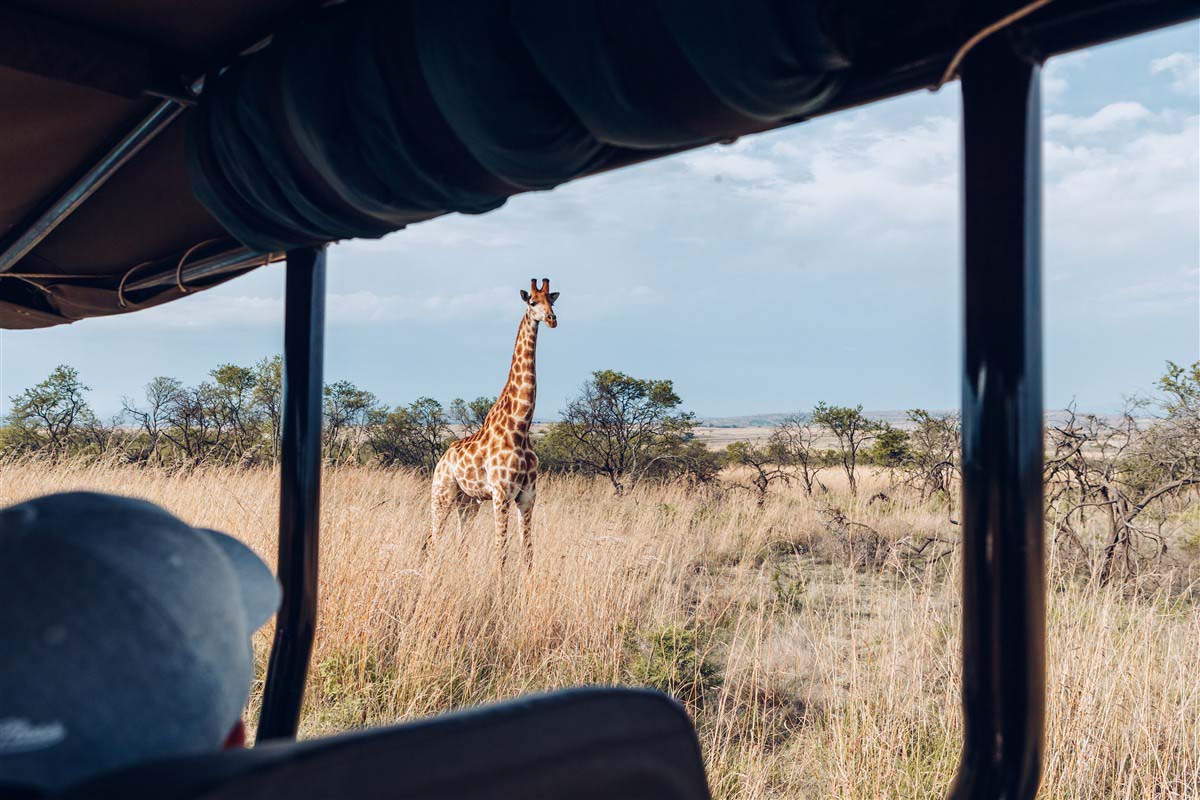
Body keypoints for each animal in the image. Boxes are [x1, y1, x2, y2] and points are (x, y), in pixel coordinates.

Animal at [429, 278, 559, 566]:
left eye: (552, 301)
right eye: (533, 301)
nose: (552, 319)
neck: (520, 427)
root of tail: (442, 458)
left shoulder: (527, 496)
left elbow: (528, 551)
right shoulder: (501, 495)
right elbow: (502, 550)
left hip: (468, 502)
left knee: (460, 542)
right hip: (442, 493)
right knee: (433, 540)